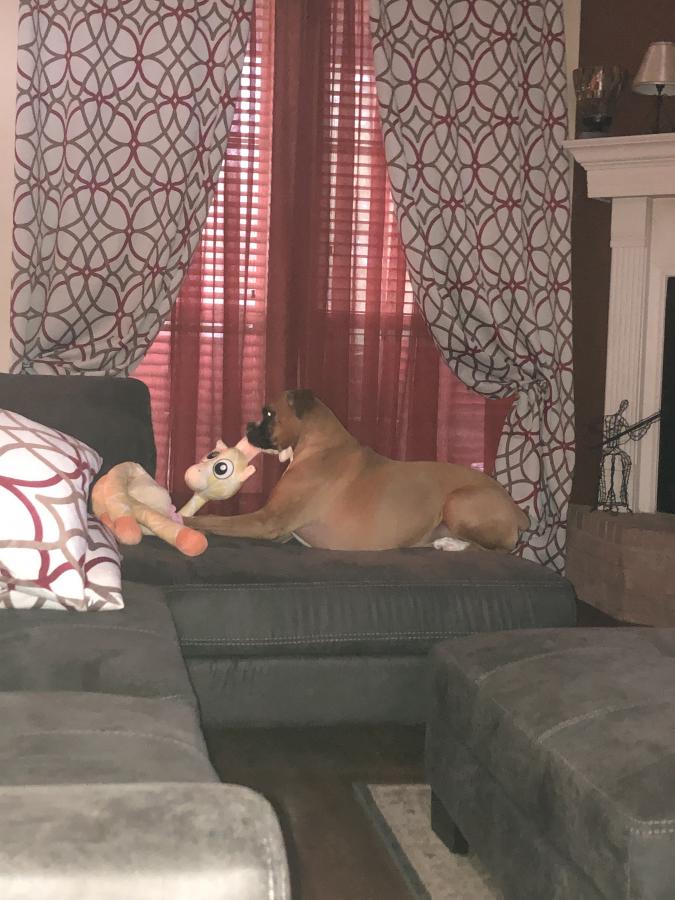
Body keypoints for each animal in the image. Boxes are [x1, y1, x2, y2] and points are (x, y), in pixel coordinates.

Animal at [185, 389, 529, 552]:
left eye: (268, 413)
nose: (248, 426)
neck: (319, 445)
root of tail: (515, 508)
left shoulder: (267, 521)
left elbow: (214, 520)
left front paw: (183, 520)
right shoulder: (281, 532)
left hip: (457, 501)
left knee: (497, 550)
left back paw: (451, 544)